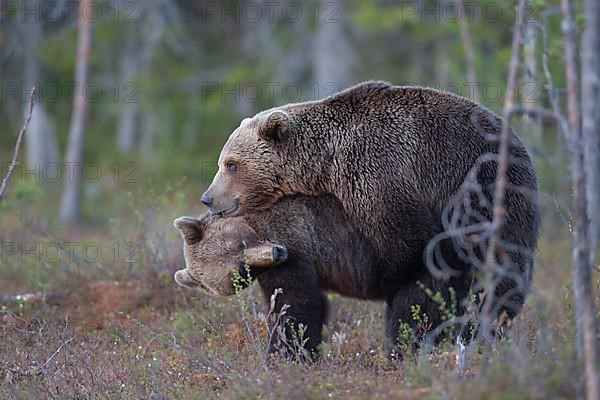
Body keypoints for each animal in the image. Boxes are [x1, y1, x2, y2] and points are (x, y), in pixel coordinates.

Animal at [172, 195, 474, 360]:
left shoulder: (297, 235)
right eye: (241, 274)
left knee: (413, 311)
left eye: (241, 243)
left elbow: (296, 305)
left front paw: (283, 358)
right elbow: (296, 304)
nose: (278, 252)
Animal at [199, 81, 540, 350]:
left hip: (484, 193)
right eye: (223, 161)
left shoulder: (378, 174)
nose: (208, 198)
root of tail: (524, 154)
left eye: (231, 164)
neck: (325, 162)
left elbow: (407, 248)